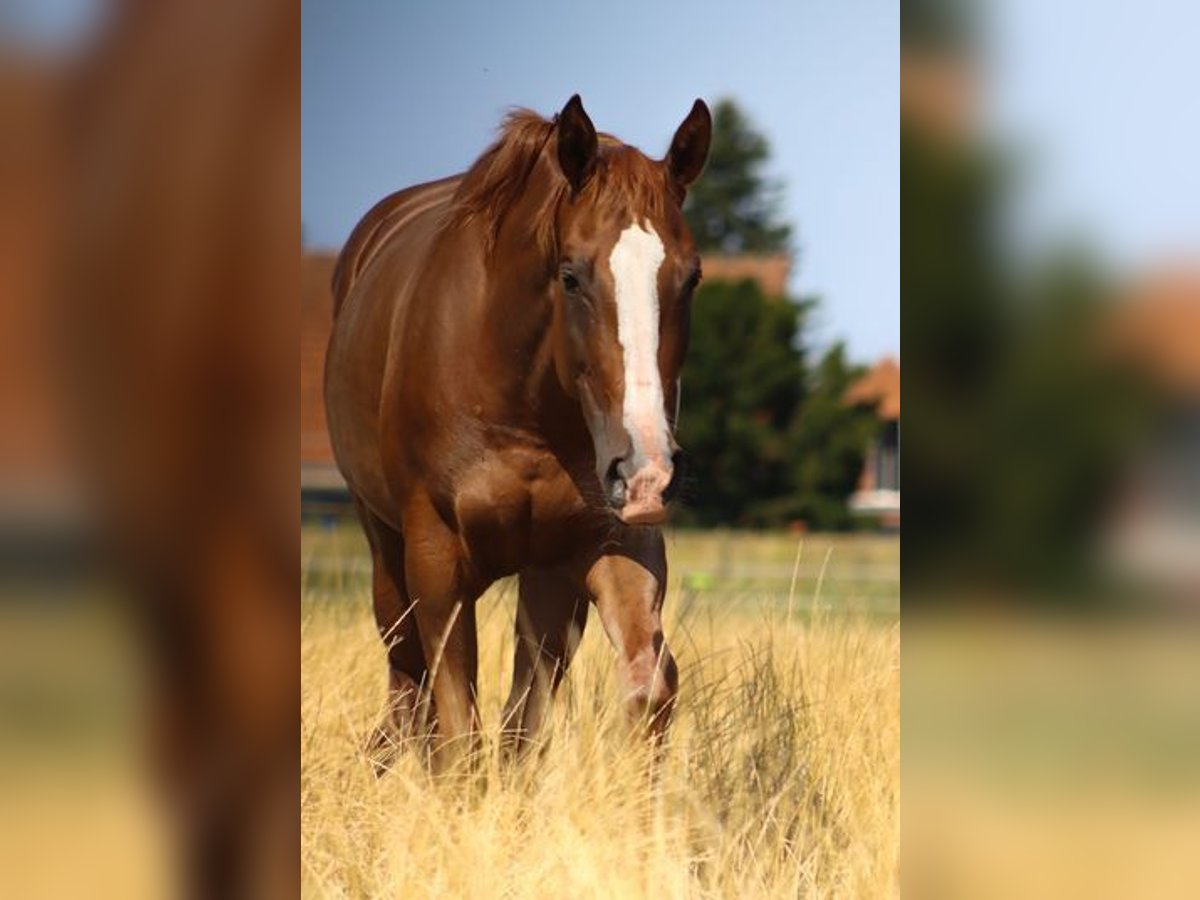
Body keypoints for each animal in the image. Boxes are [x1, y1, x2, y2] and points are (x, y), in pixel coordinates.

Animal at [324, 95, 705, 772]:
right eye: (571, 276)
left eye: (692, 277)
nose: (646, 472)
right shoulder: (437, 560)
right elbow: (458, 727)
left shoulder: (608, 543)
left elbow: (644, 686)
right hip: (383, 542)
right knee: (406, 671)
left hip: (544, 577)